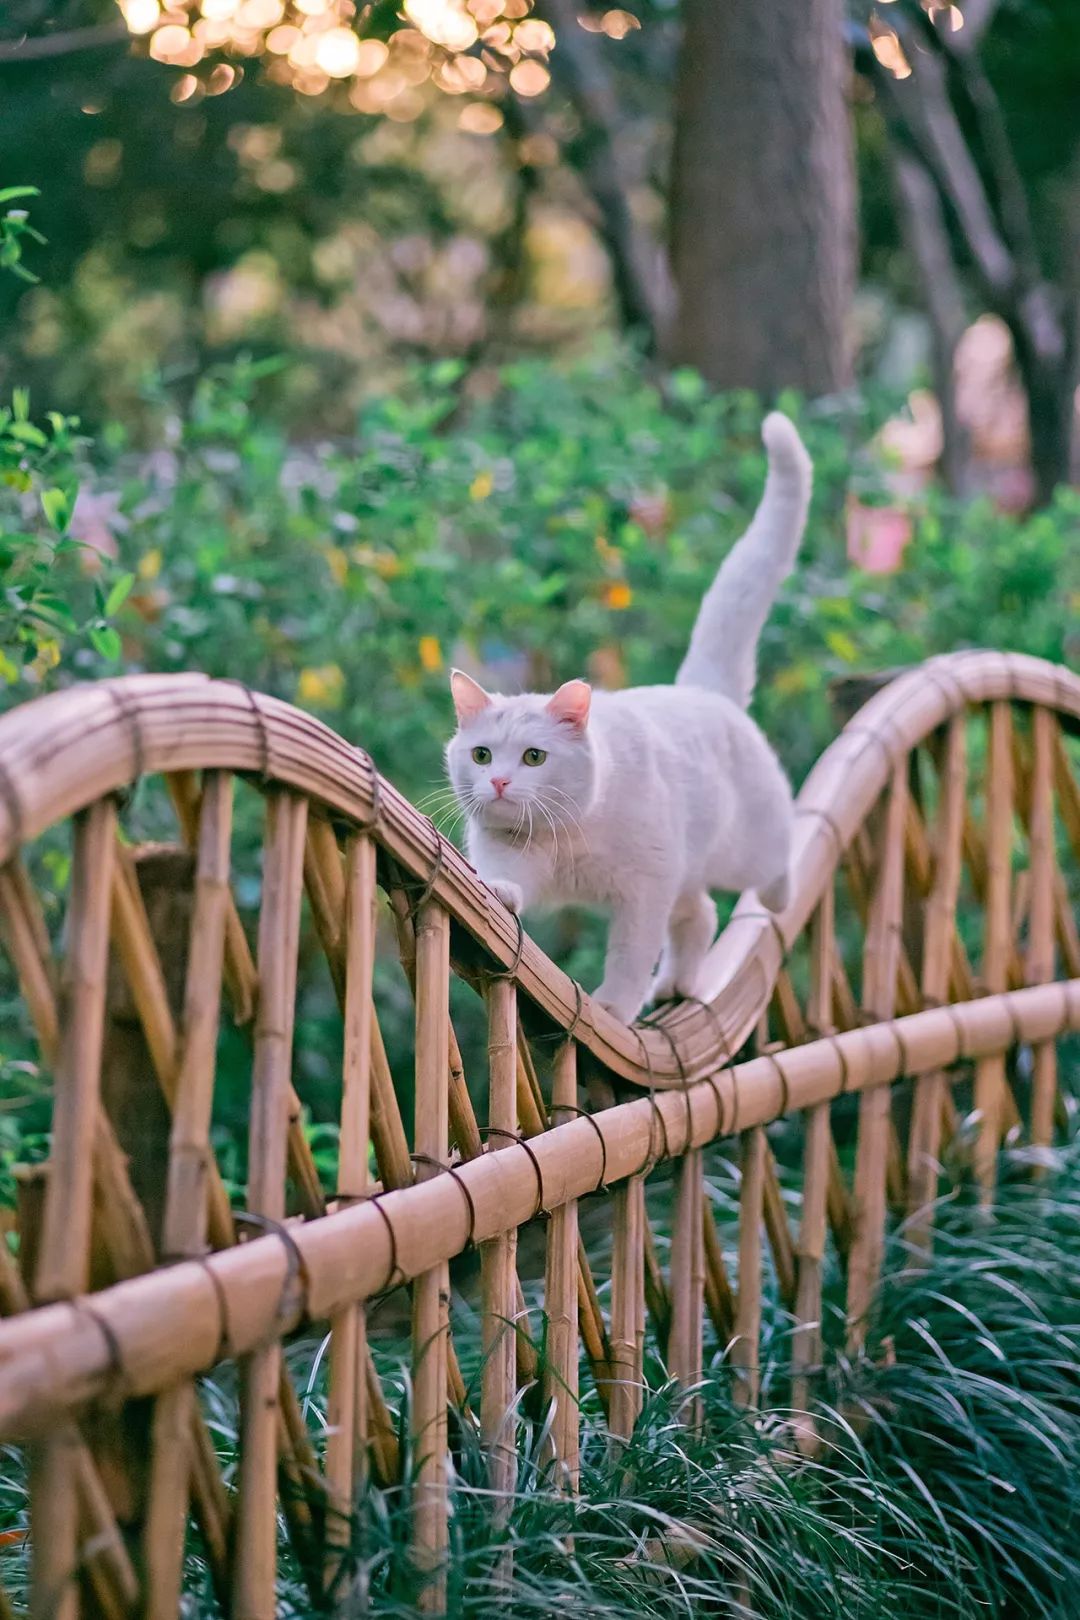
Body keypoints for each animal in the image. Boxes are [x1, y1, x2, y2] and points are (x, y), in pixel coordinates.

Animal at [446, 417, 809, 1023]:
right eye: (481, 755)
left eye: (534, 756)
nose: (497, 781)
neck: (568, 835)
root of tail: (702, 690)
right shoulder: (509, 851)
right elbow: (506, 882)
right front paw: (500, 896)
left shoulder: (644, 890)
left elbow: (631, 953)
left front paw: (614, 1005)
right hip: (690, 875)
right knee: (701, 914)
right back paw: (676, 986)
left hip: (745, 850)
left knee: (777, 860)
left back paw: (777, 897)